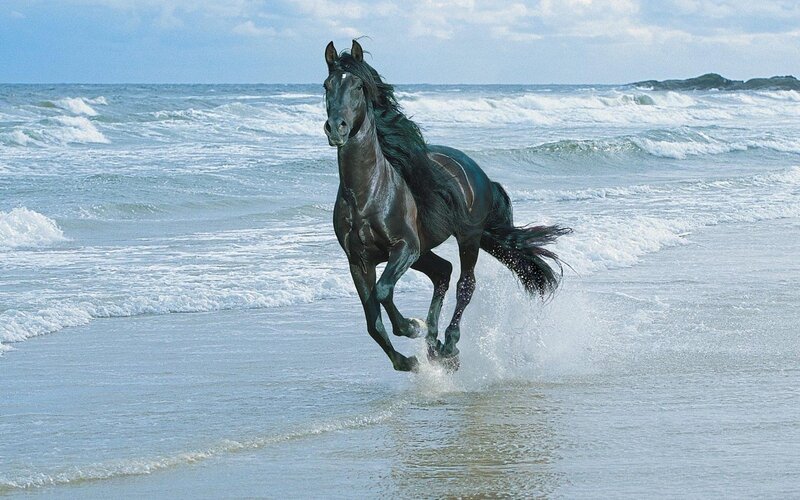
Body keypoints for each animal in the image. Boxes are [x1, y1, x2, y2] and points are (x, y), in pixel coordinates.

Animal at [324, 40, 571, 372]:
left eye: (358, 86)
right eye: (327, 86)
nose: (336, 128)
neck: (367, 195)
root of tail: (478, 172)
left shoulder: (404, 247)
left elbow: (384, 292)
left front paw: (411, 327)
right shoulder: (358, 261)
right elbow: (372, 322)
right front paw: (408, 360)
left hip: (467, 238)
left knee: (465, 284)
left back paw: (449, 344)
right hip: (425, 251)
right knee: (443, 272)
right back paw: (434, 345)